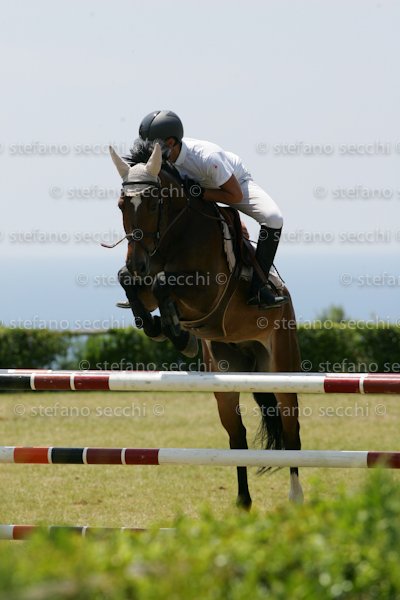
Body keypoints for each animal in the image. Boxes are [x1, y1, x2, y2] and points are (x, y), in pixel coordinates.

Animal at [106, 140, 304, 508]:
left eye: (152, 203)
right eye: (122, 204)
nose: (138, 262)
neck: (173, 235)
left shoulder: (206, 291)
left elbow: (164, 283)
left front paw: (177, 334)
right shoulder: (145, 281)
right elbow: (130, 282)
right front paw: (159, 327)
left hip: (282, 367)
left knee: (291, 431)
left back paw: (296, 497)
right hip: (227, 371)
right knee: (237, 437)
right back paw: (243, 503)